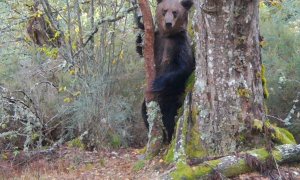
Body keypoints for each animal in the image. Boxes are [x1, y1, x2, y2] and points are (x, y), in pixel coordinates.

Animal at [139, 0, 193, 143]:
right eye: (164, 11)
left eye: (175, 12)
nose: (168, 23)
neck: (168, 35)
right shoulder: (156, 41)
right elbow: (140, 50)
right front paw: (140, 25)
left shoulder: (180, 43)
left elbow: (184, 67)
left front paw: (157, 83)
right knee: (144, 110)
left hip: (173, 95)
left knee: (170, 116)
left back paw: (167, 136)